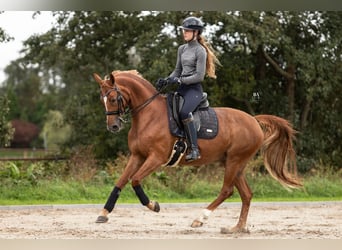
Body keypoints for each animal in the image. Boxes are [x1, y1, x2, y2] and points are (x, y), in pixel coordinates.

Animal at [93, 70, 302, 232]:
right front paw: (103, 213)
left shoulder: (156, 158)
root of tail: (254, 120)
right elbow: (120, 182)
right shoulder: (138, 156)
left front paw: (154, 205)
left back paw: (200, 219)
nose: (113, 126)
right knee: (246, 194)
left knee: (227, 190)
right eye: (102, 101)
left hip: (235, 161)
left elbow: (135, 180)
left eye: (113, 98)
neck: (148, 115)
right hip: (234, 163)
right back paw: (237, 228)